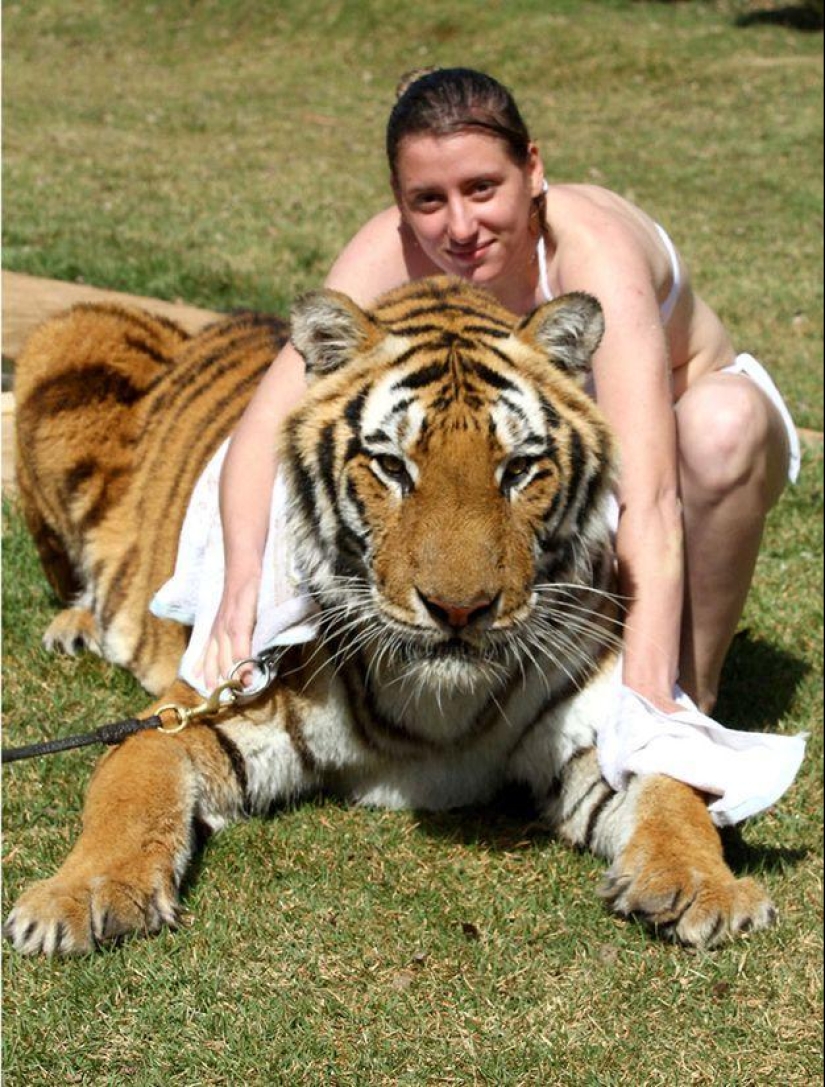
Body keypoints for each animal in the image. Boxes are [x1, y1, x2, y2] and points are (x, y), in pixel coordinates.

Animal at [4, 276, 776, 955]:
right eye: (392, 466)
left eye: (518, 470)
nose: (460, 608)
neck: (437, 707)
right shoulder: (190, 714)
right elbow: (129, 794)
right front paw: (80, 897)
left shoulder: (600, 733)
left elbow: (673, 791)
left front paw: (705, 885)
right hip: (64, 343)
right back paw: (77, 625)